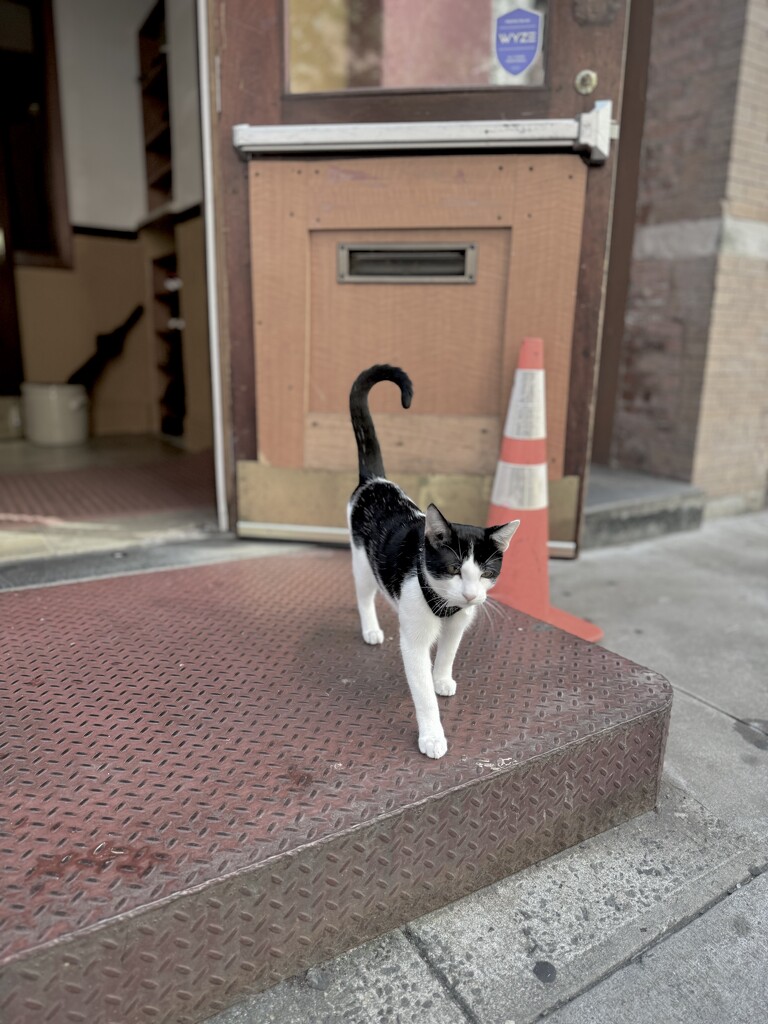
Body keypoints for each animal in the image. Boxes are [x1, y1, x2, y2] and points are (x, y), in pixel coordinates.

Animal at [350, 364, 524, 757]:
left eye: (487, 572)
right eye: (454, 569)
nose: (472, 595)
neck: (444, 604)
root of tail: (376, 481)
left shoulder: (458, 623)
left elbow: (448, 651)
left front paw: (441, 677)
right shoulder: (413, 641)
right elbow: (423, 693)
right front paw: (431, 734)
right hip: (362, 563)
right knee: (364, 596)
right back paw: (370, 629)